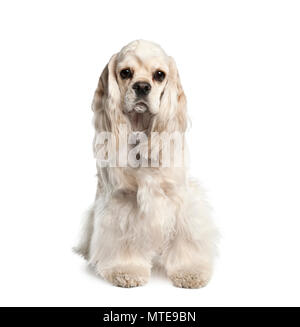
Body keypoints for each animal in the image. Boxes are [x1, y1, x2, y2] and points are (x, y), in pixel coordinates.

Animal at [73, 39, 218, 288]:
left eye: (159, 74)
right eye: (125, 72)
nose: (142, 86)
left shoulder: (179, 198)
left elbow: (185, 237)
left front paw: (189, 271)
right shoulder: (121, 200)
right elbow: (123, 240)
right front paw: (126, 269)